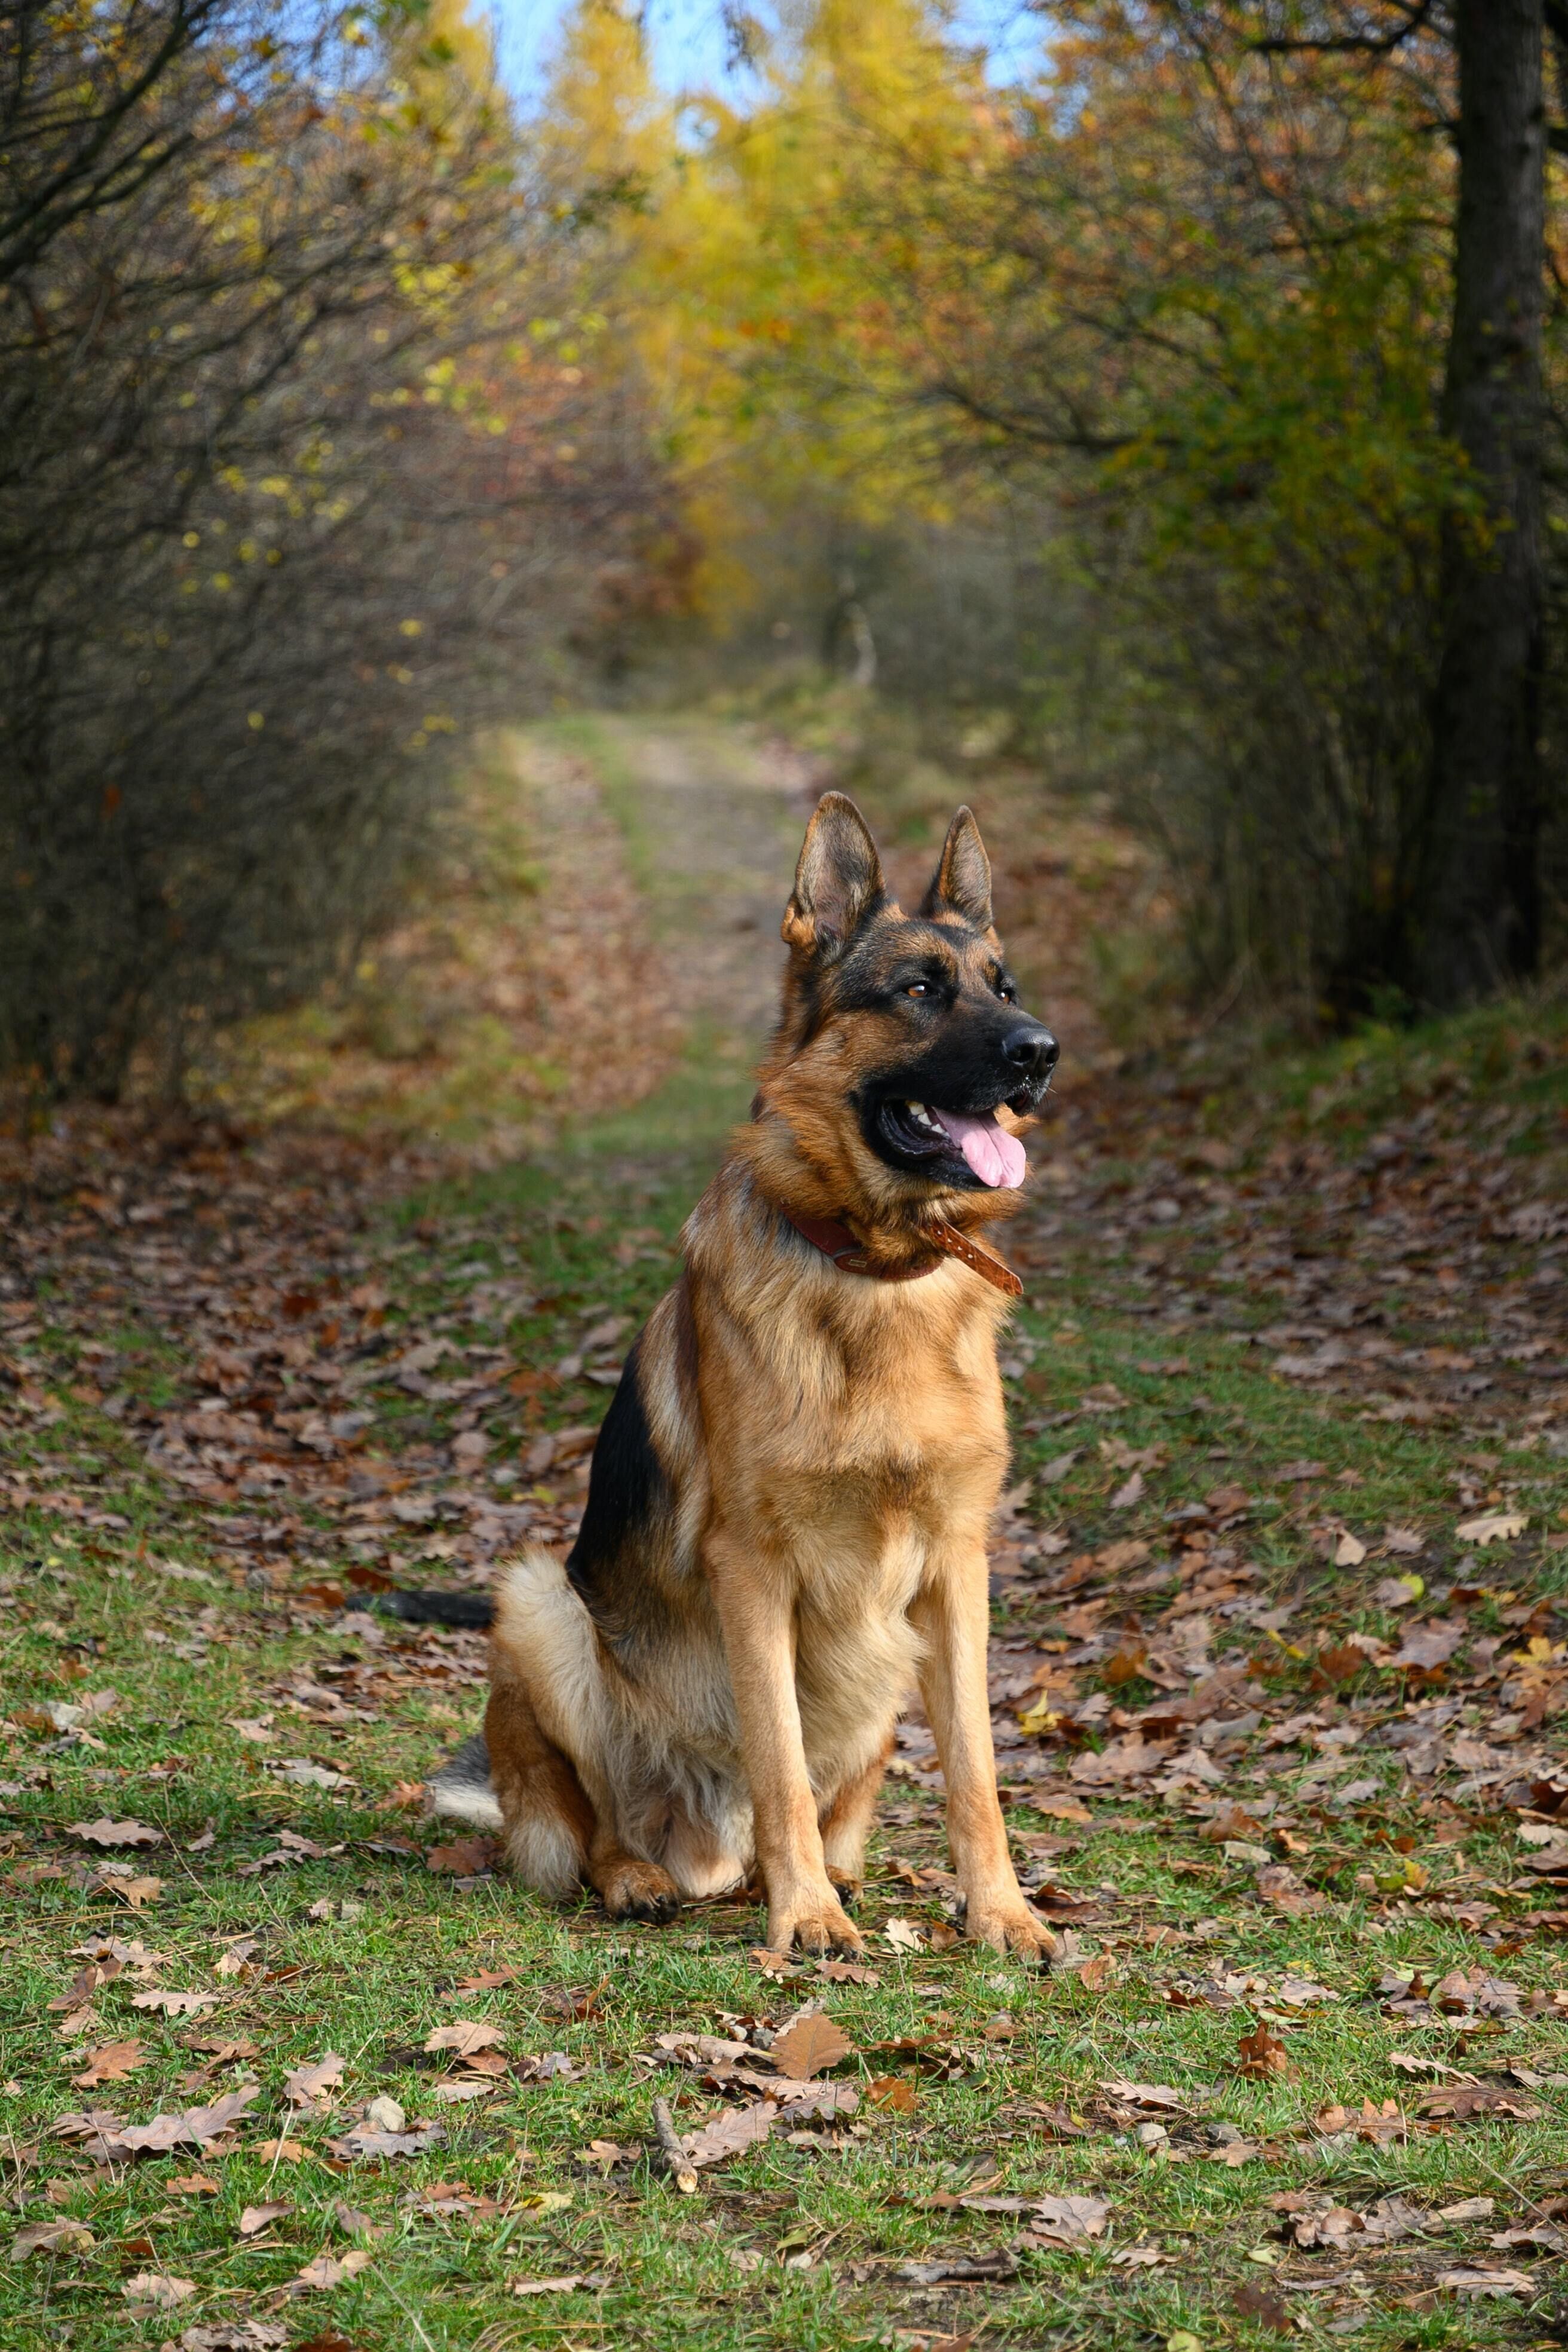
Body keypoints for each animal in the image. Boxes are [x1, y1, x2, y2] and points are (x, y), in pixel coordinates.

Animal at [425, 800, 1067, 1956]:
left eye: (1004, 983)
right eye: (918, 990)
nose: (1040, 1050)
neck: (875, 1274)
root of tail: (704, 1854)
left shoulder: (958, 1565)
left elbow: (977, 1773)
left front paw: (999, 1912)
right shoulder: (753, 1567)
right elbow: (775, 1755)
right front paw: (804, 1915)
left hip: (882, 1676)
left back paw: (837, 1872)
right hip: (540, 1603)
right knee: (594, 1822)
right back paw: (645, 1876)